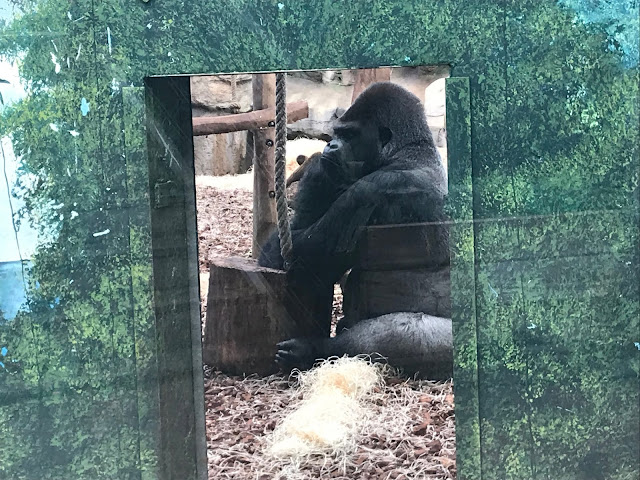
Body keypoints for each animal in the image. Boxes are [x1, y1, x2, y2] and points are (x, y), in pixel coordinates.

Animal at [256, 82, 450, 378]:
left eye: (349, 134)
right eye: (337, 133)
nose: (330, 145)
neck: (409, 152)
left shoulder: (370, 192)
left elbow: (296, 261)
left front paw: (316, 171)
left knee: (401, 333)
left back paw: (312, 350)